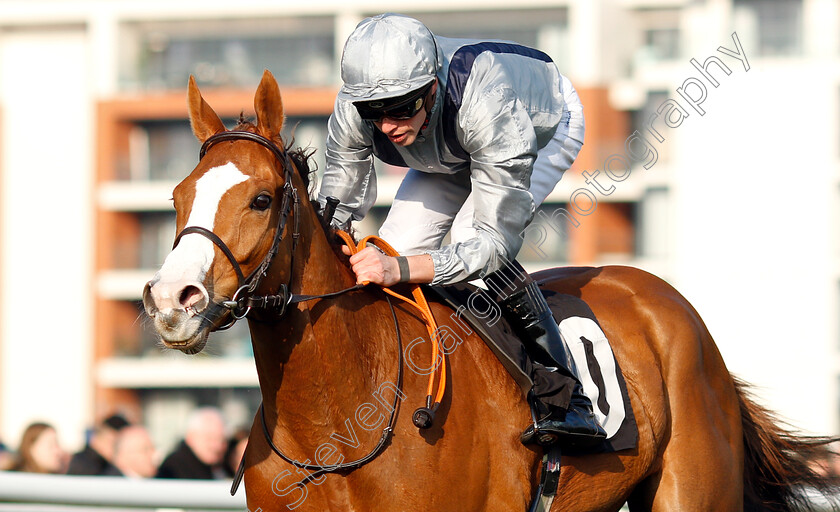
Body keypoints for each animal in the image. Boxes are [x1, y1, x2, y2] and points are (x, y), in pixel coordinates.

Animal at [143, 71, 832, 512]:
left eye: (261, 200)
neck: (339, 427)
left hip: (691, 493)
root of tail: (667, 301)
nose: (172, 300)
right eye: (177, 196)